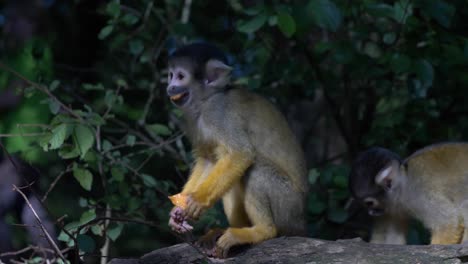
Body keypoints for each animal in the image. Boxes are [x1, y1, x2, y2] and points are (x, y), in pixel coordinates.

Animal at [165, 43, 308, 258]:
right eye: (171, 75)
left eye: (181, 76)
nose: (170, 87)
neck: (206, 101)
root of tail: (303, 224)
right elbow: (208, 160)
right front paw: (178, 212)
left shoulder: (217, 112)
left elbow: (240, 153)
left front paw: (198, 200)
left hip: (289, 208)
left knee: (255, 170)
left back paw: (262, 231)